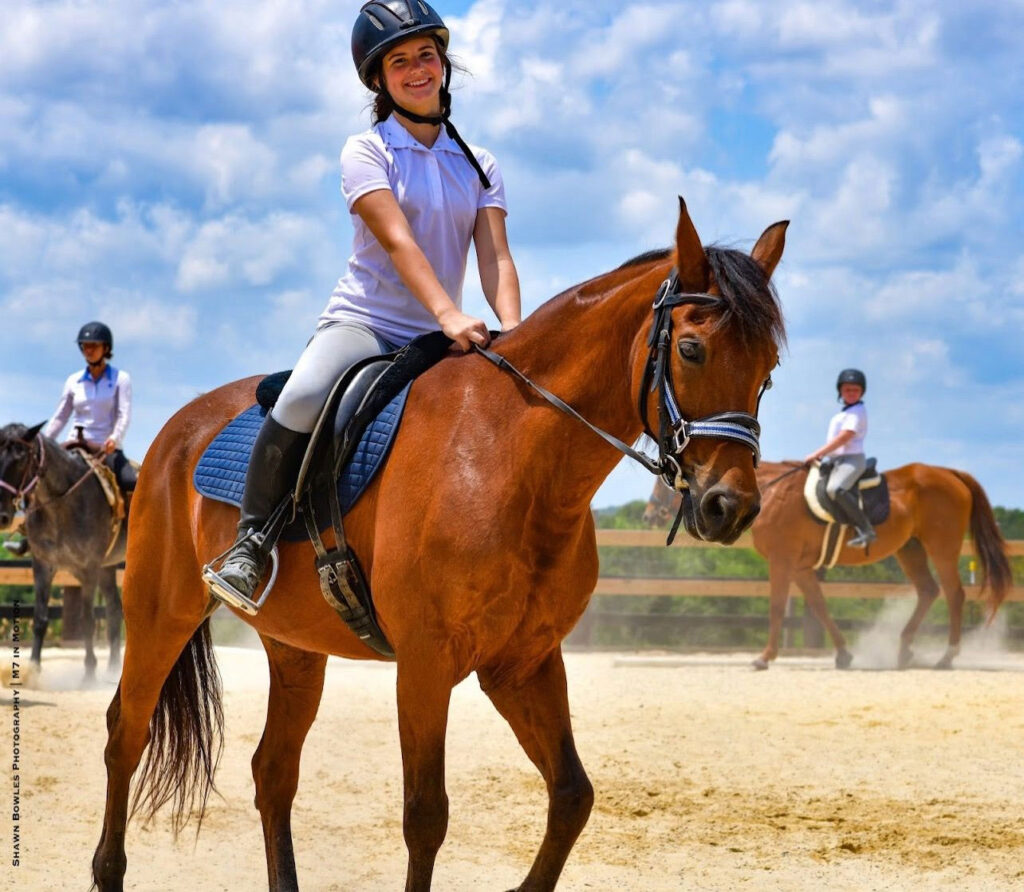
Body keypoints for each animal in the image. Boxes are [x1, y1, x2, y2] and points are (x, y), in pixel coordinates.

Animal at [0, 422, 126, 678]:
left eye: (21, 458)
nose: (2, 515)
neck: (63, 504)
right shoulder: (42, 565)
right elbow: (40, 619)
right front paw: (34, 669)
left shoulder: (89, 568)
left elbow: (87, 620)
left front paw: (89, 672)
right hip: (107, 568)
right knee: (114, 609)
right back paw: (112, 668)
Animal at [91, 199, 788, 892]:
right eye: (692, 350)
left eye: (769, 372)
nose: (731, 507)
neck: (511, 452)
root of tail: (179, 427)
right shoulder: (426, 666)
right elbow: (426, 816)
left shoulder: (523, 663)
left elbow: (572, 796)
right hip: (161, 615)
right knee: (126, 735)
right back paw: (108, 867)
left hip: (295, 648)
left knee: (273, 771)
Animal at [643, 461, 1012, 670]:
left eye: (668, 480)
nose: (649, 516)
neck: (773, 493)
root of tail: (950, 474)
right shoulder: (802, 569)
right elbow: (819, 606)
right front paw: (844, 654)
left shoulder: (782, 561)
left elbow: (777, 607)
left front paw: (765, 657)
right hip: (911, 549)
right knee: (928, 591)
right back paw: (905, 650)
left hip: (942, 548)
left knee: (953, 594)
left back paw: (946, 657)